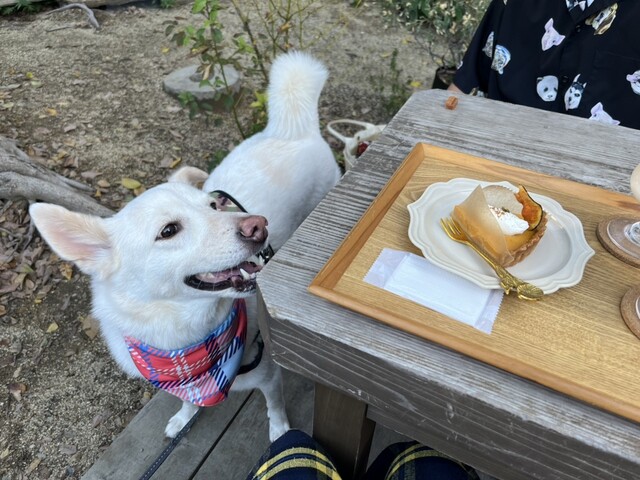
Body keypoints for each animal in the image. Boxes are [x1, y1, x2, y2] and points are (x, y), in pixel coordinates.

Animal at [29, 51, 341, 441]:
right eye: (169, 230)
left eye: (213, 206)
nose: (259, 226)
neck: (187, 341)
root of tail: (292, 129)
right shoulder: (183, 382)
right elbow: (187, 401)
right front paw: (183, 416)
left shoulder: (268, 374)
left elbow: (275, 406)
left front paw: (281, 432)